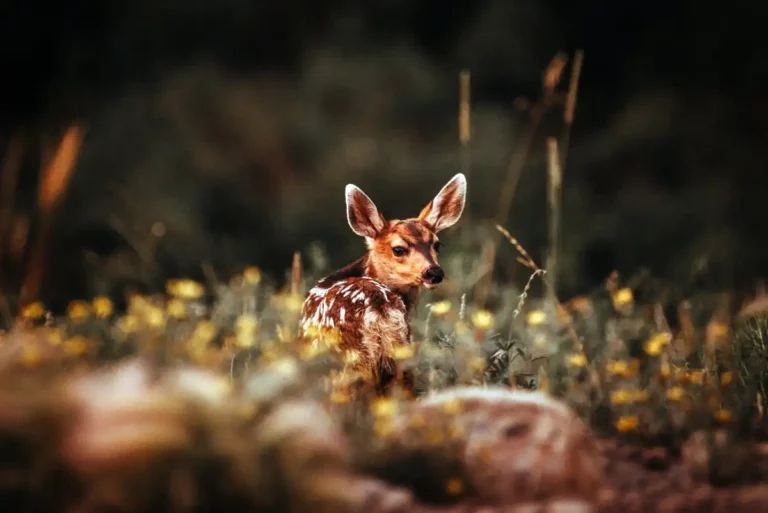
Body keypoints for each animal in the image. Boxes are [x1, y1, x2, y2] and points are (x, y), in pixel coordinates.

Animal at [299, 173, 467, 395]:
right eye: (398, 249)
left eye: (437, 244)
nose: (434, 272)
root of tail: (379, 308)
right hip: (399, 354)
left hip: (352, 362)